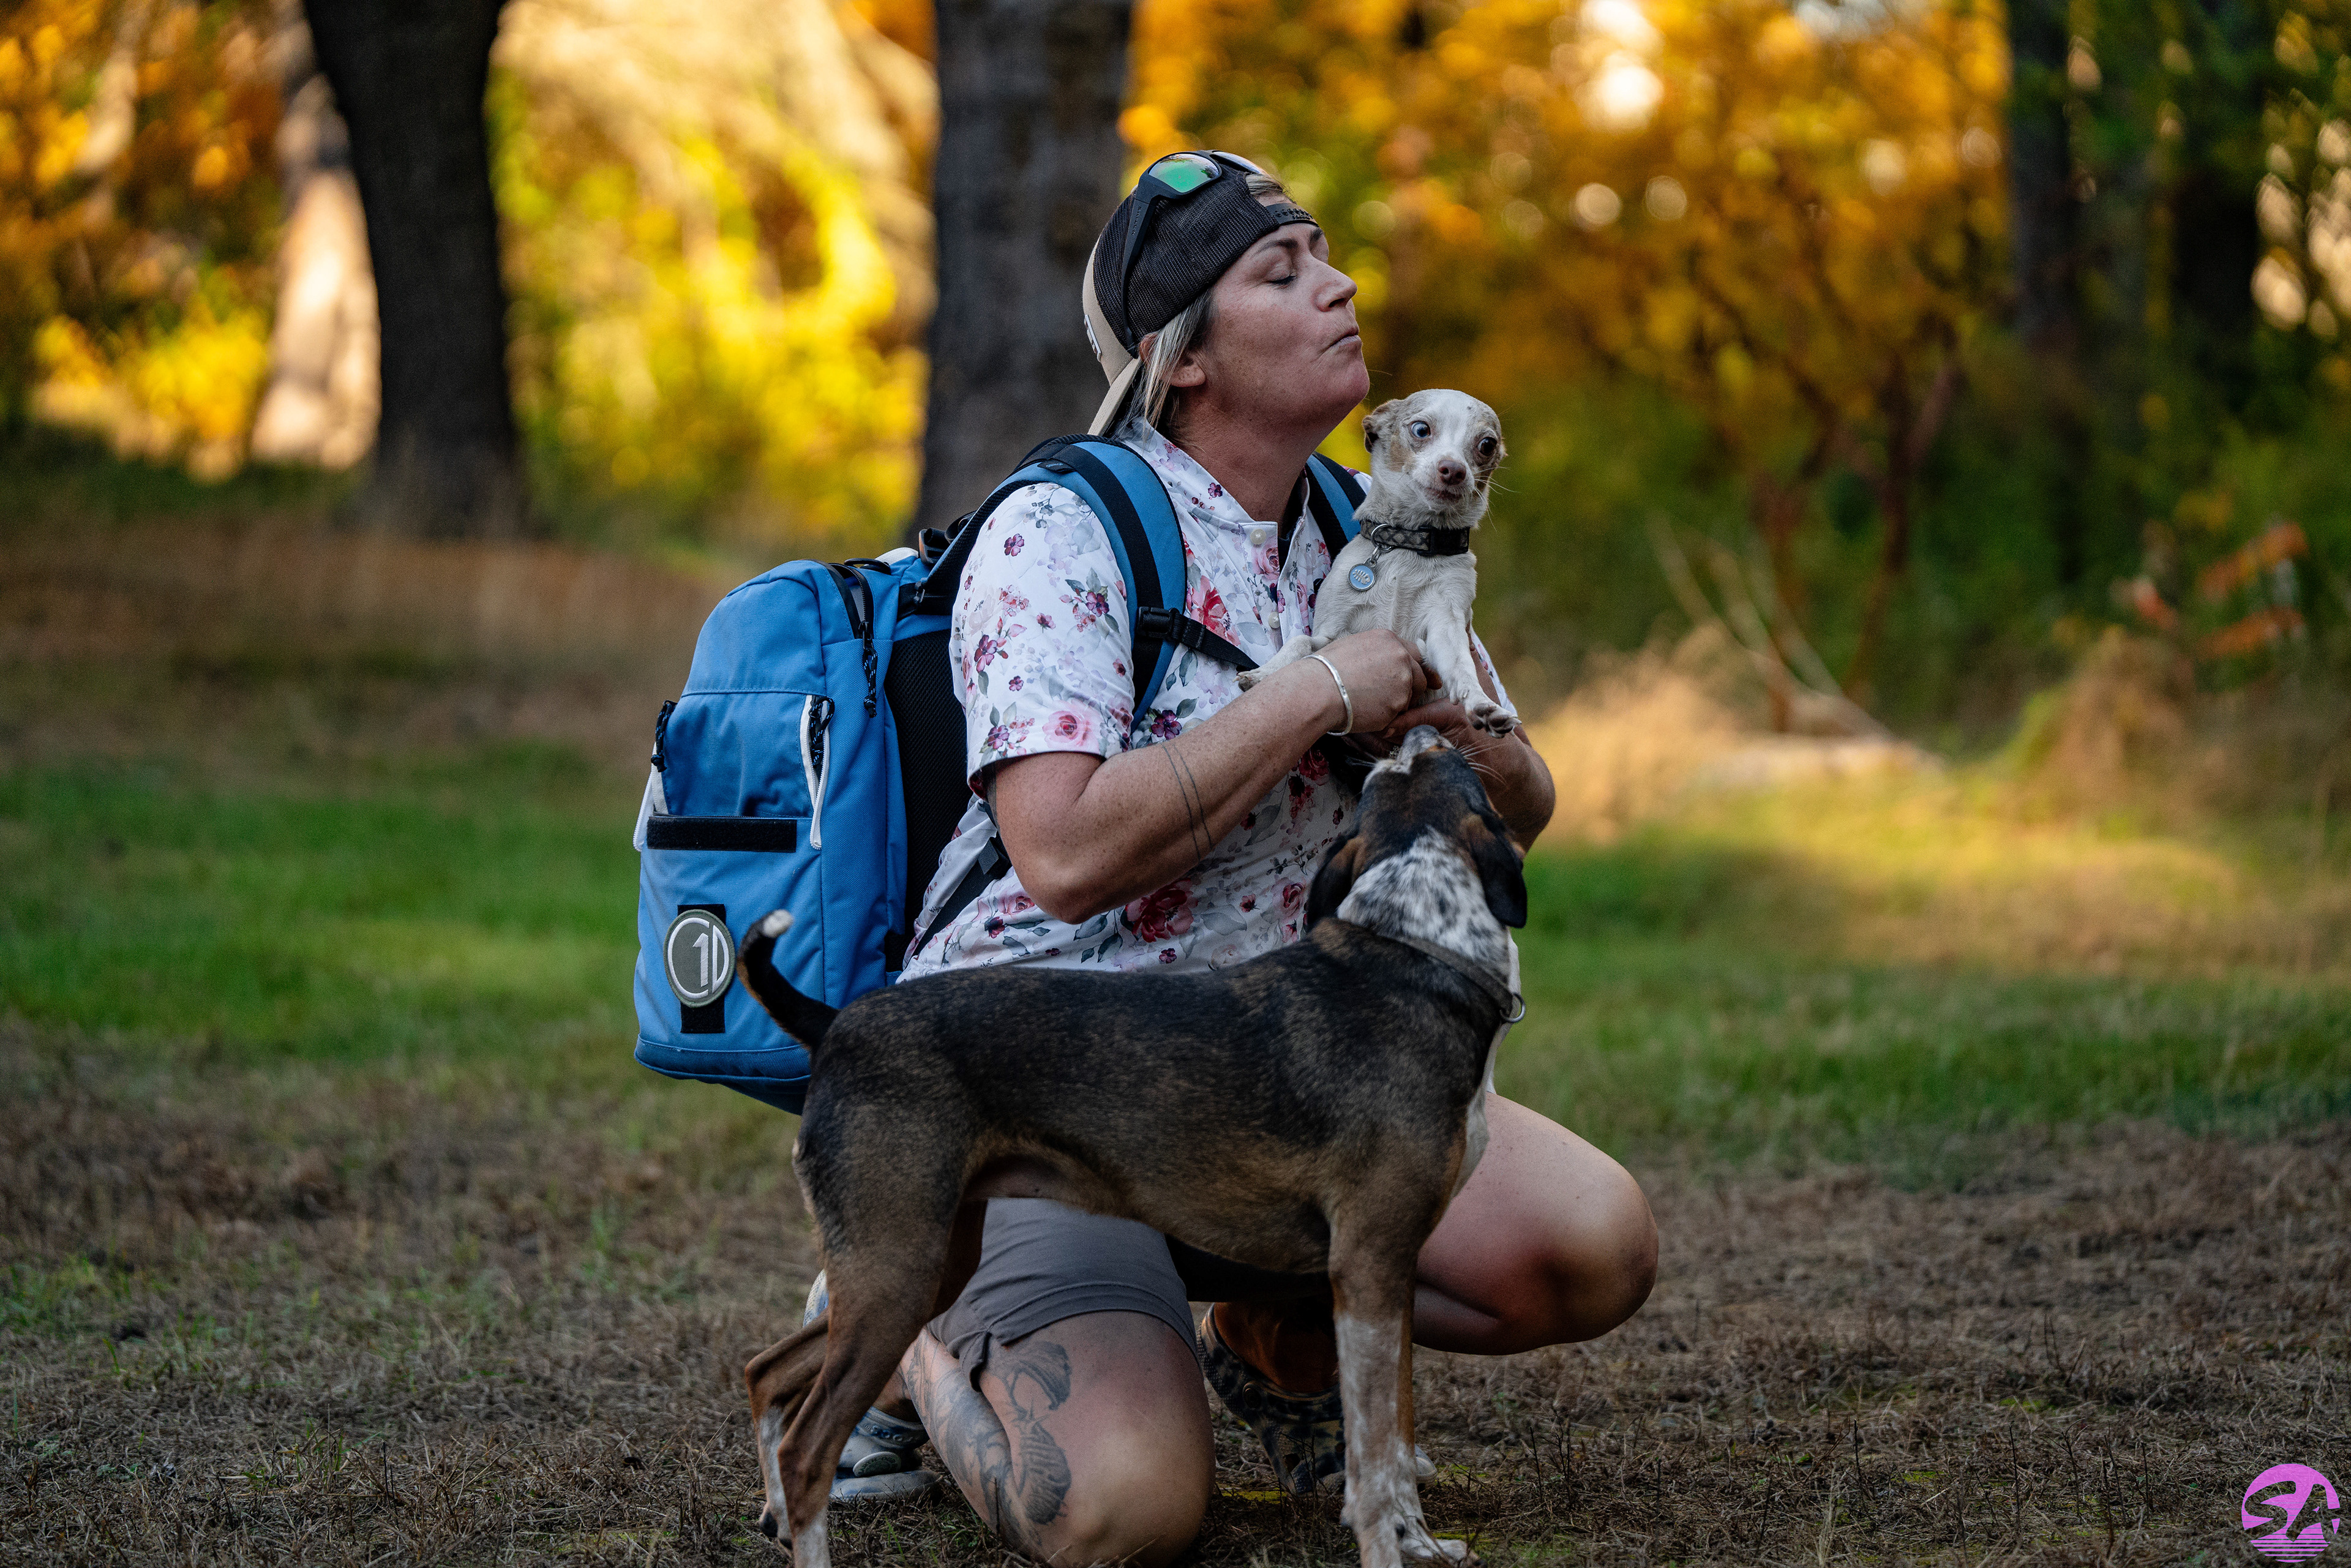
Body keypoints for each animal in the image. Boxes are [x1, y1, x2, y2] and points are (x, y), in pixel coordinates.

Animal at [734, 725, 1526, 1568]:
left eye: (1396, 771)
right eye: (1439, 764)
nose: (1423, 727)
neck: (1413, 956)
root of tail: (836, 1023)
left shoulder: (1391, 1274)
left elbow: (1397, 1444)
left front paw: (1423, 1543)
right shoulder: (1369, 1266)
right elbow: (1375, 1466)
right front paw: (1387, 1548)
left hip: (927, 1267)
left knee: (767, 1372)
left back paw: (774, 1511)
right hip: (899, 1276)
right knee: (807, 1446)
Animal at [1242, 389, 1516, 736]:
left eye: (1487, 445)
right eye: (1421, 430)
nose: (1454, 469)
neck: (1408, 545)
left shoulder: (1445, 623)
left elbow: (1461, 666)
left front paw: (1481, 704)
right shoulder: (1330, 634)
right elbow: (1300, 642)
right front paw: (1263, 675)